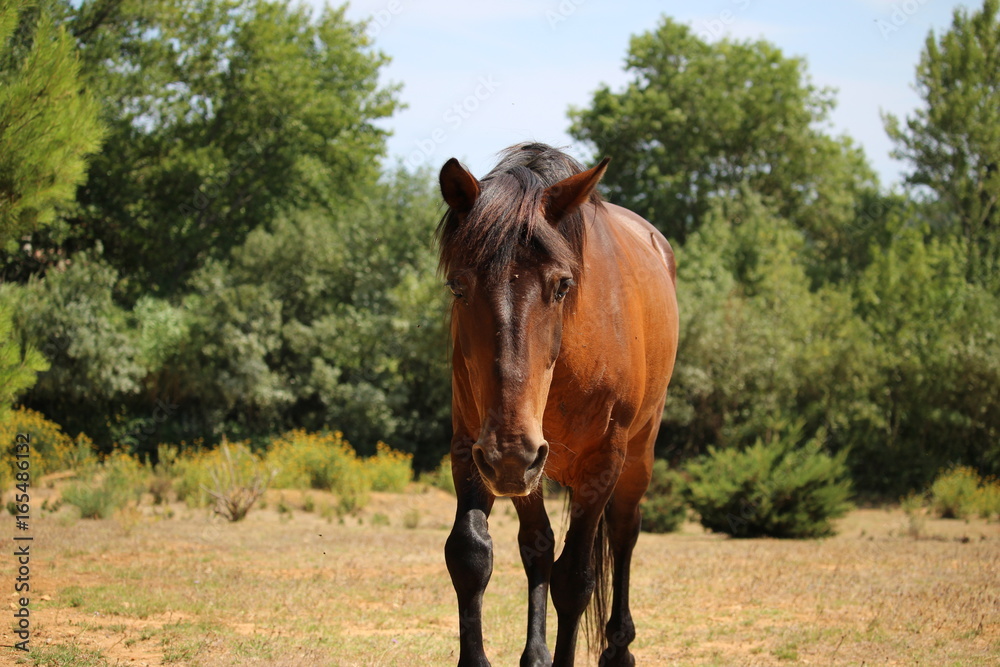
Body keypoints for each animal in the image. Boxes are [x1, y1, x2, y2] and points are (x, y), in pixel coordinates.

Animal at [438, 143, 678, 667]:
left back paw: (619, 647)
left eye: (563, 286)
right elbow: (471, 554)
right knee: (538, 546)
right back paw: (536, 654)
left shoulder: (601, 461)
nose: (510, 450)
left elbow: (575, 580)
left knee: (624, 532)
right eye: (458, 287)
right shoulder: (474, 448)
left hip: (636, 454)